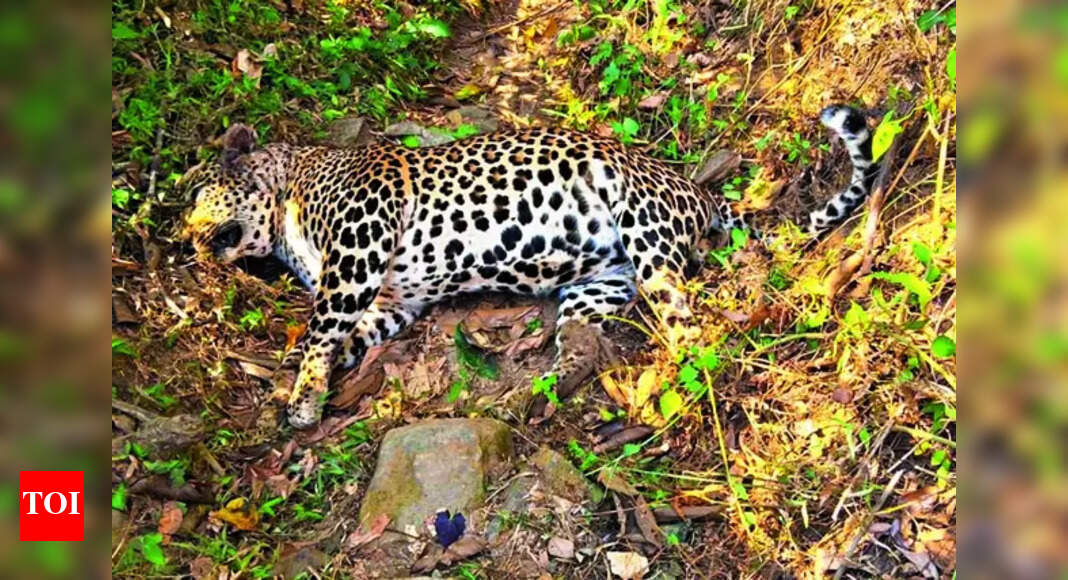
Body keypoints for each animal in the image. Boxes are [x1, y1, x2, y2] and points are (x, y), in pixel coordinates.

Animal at [182, 104, 878, 428]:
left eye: (194, 196)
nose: (182, 242)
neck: (288, 194)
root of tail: (696, 191)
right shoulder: (392, 301)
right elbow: (342, 337)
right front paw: (309, 379)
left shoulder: (359, 249)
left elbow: (321, 328)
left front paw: (301, 399)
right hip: (599, 285)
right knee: (584, 344)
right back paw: (544, 392)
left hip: (643, 230)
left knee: (689, 328)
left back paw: (674, 392)